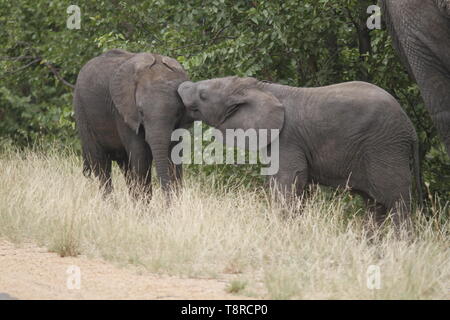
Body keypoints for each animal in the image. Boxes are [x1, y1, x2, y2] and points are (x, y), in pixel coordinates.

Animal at [72, 49, 192, 198]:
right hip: (82, 112)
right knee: (101, 164)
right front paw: (145, 204)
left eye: (178, 112)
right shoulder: (123, 112)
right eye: (141, 112)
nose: (167, 202)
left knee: (125, 166)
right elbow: (140, 157)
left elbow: (174, 155)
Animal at [178, 77, 422, 228]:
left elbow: (288, 181)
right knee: (375, 205)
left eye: (203, 94)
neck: (261, 87)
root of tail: (411, 129)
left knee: (396, 202)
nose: (181, 86)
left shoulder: (287, 137)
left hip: (386, 147)